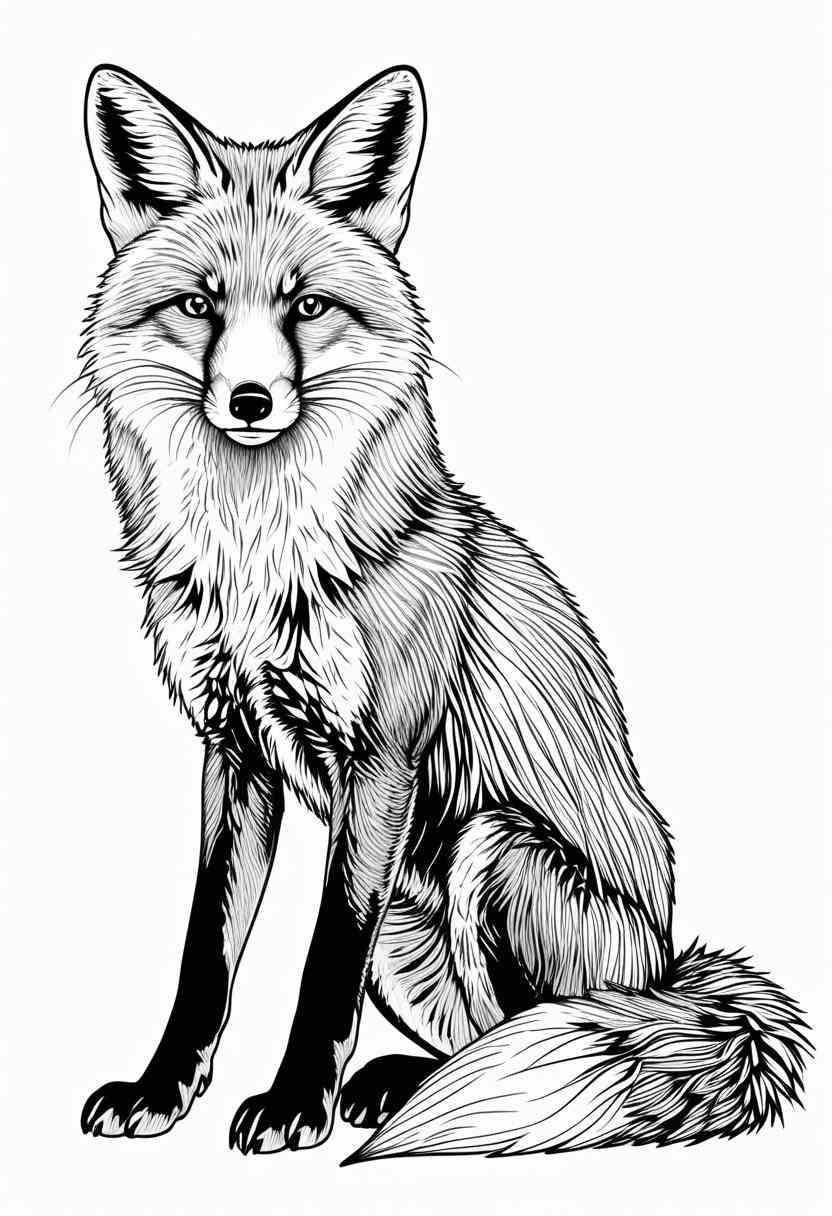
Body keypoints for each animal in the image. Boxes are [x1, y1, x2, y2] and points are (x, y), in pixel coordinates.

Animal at [77, 63, 810, 1161]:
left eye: (307, 306)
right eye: (199, 305)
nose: (249, 400)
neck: (259, 565)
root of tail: (672, 968)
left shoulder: (382, 761)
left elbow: (321, 962)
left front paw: (294, 1104)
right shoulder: (235, 754)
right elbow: (205, 957)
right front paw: (164, 1089)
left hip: (487, 847)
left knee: (533, 1030)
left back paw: (404, 1094)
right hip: (413, 936)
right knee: (480, 1034)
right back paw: (397, 1084)